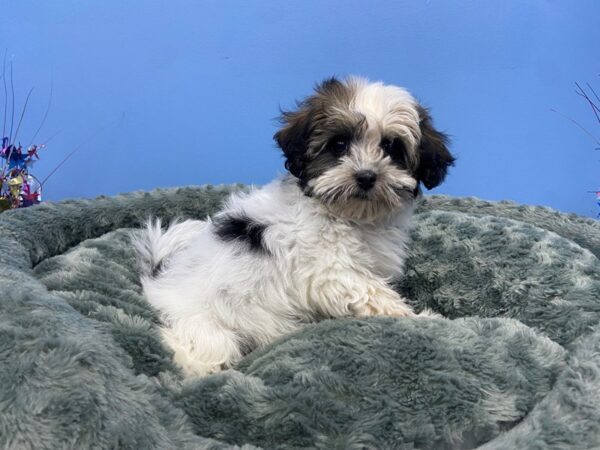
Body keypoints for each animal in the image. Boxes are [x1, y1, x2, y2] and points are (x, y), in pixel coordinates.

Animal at [136, 77, 454, 376]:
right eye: (339, 145)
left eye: (391, 147)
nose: (366, 176)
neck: (351, 217)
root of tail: (157, 285)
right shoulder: (333, 271)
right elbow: (374, 295)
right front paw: (421, 319)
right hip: (208, 330)